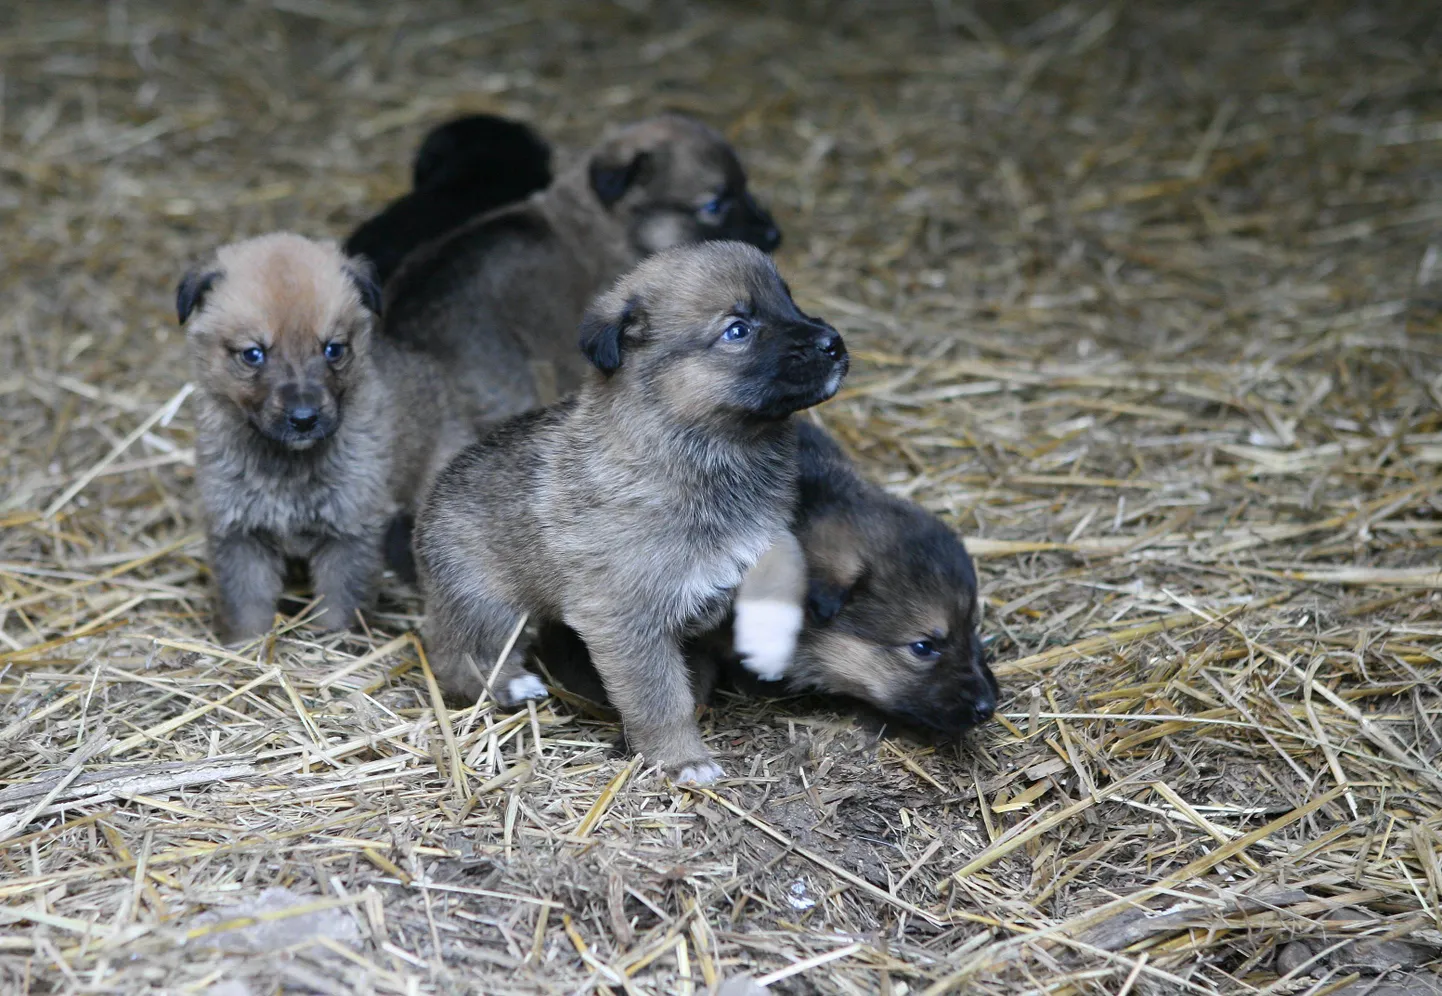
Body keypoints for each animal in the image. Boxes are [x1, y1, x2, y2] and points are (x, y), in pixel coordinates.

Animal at [178, 233, 472, 642]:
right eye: (253, 354)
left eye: (334, 349)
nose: (304, 419)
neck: (287, 465)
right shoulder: (239, 534)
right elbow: (248, 609)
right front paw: (247, 646)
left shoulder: (350, 532)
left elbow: (339, 605)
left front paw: (335, 642)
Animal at [415, 243, 842, 789]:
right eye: (738, 329)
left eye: (789, 301)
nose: (833, 343)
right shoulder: (628, 619)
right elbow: (661, 700)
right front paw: (682, 758)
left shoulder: (764, 532)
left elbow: (786, 562)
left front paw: (769, 642)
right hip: (486, 603)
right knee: (458, 657)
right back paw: (514, 686)